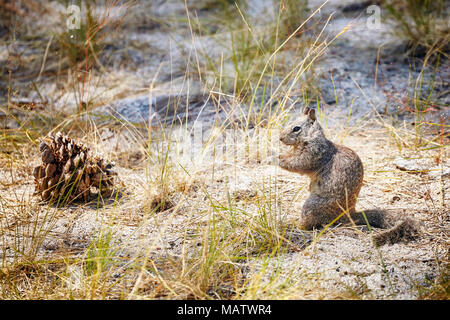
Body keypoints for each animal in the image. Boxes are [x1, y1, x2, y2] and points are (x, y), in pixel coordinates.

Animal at [278, 107, 418, 245]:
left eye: (296, 128)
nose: (280, 138)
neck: (312, 137)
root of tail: (349, 215)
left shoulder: (314, 154)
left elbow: (299, 164)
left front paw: (278, 158)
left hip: (311, 206)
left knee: (310, 223)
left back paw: (295, 224)